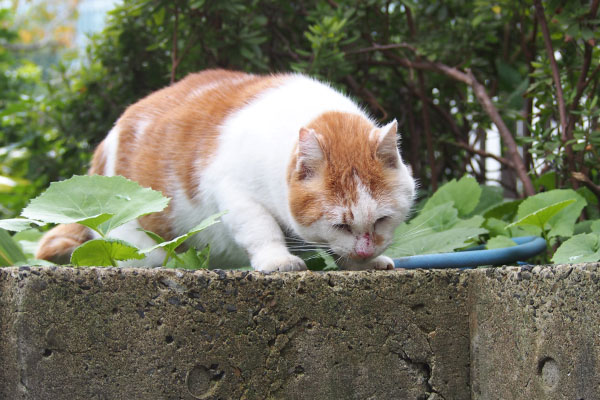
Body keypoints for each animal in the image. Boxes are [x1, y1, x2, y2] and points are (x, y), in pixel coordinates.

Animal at [36, 70, 412, 274]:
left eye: (381, 220)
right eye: (340, 224)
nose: (365, 250)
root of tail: (105, 143)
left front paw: (362, 265)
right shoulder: (233, 192)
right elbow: (261, 228)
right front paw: (278, 259)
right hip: (134, 240)